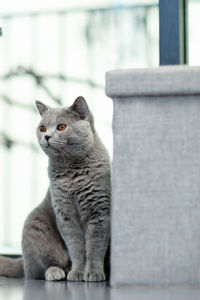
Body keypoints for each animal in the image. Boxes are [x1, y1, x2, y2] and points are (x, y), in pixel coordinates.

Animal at [0, 96, 111, 282]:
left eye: (61, 127)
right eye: (42, 128)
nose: (46, 136)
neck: (71, 171)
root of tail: (21, 260)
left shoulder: (99, 210)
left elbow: (95, 245)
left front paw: (94, 273)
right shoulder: (65, 214)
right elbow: (77, 247)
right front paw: (78, 273)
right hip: (36, 226)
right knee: (37, 271)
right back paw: (56, 272)